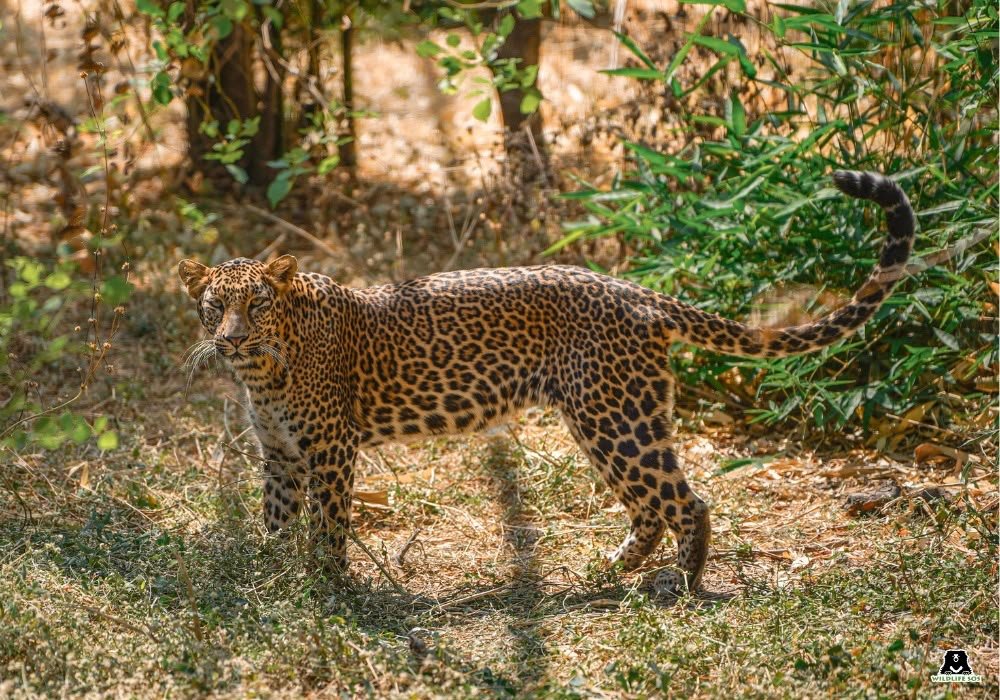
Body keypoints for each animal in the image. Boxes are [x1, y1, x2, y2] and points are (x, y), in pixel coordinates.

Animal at [178, 171, 914, 595]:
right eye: (216, 305)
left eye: (258, 305)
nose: (231, 338)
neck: (264, 369)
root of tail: (635, 291)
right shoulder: (280, 454)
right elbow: (275, 519)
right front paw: (271, 575)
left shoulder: (330, 449)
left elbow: (328, 523)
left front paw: (325, 586)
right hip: (606, 417)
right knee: (651, 506)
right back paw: (606, 573)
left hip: (616, 418)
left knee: (686, 501)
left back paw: (679, 585)